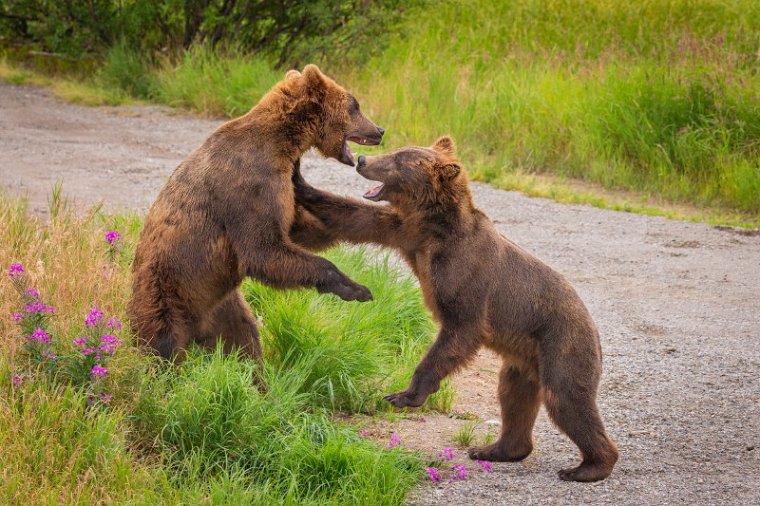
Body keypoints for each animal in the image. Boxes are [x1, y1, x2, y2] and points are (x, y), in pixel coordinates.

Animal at [128, 64, 386, 364]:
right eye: (355, 106)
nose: (380, 130)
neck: (282, 143)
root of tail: (197, 329)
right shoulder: (248, 184)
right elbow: (262, 249)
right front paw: (355, 288)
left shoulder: (279, 187)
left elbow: (295, 228)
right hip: (166, 293)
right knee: (161, 347)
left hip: (224, 305)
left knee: (244, 340)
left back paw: (254, 373)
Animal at [294, 135, 620, 482]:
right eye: (396, 151)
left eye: (399, 160)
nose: (362, 160)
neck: (436, 225)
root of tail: (592, 325)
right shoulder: (407, 231)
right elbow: (356, 217)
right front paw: (300, 179)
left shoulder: (467, 273)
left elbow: (460, 330)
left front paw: (404, 395)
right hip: (524, 358)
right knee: (514, 396)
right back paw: (495, 449)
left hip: (560, 340)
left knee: (566, 398)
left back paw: (587, 467)